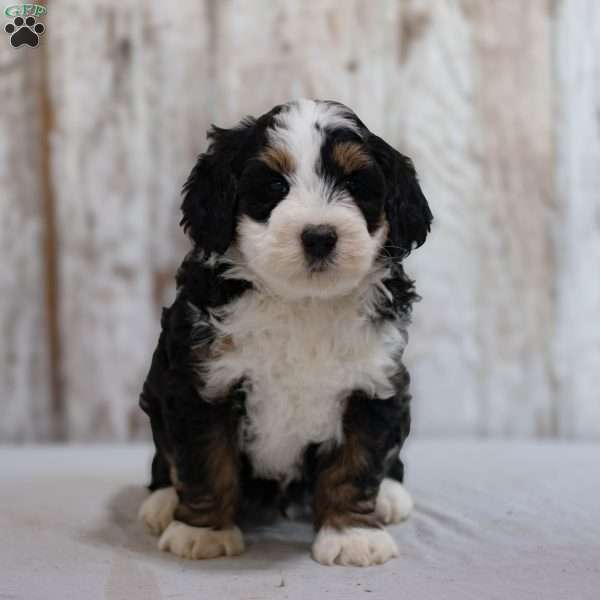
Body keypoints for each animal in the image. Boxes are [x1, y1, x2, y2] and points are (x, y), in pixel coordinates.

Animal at [139, 99, 434, 568]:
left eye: (355, 184)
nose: (320, 236)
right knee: (164, 456)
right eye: (275, 185)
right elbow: (205, 459)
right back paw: (164, 501)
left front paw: (352, 535)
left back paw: (390, 494)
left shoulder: (372, 383)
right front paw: (201, 532)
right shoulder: (200, 382)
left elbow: (356, 462)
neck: (303, 303)